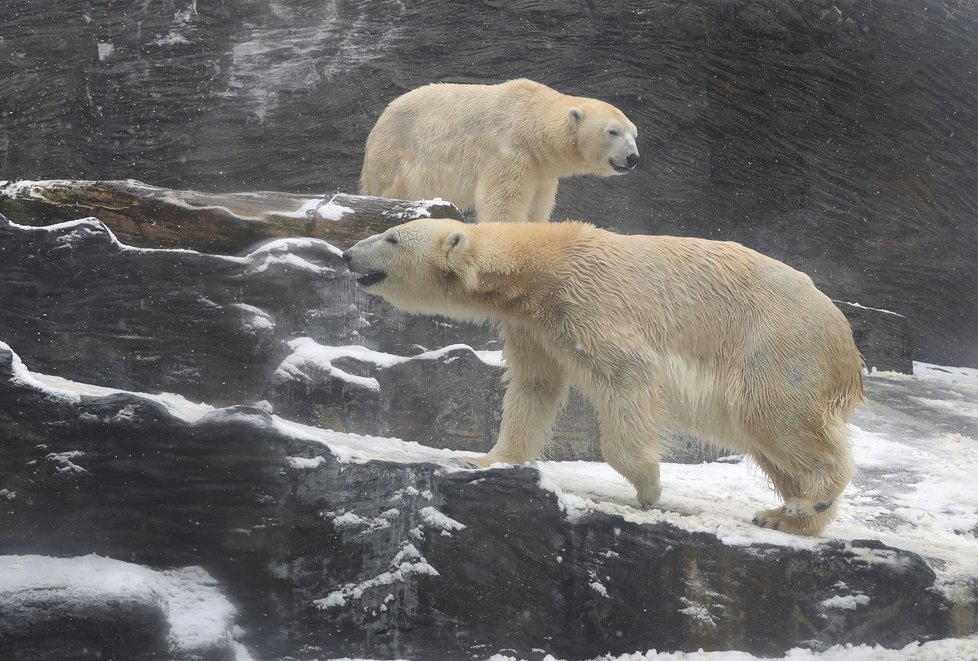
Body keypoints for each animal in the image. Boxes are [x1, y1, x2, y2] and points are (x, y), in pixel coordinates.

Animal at [342, 219, 860, 532]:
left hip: (775, 343)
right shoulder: (535, 327)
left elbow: (629, 372)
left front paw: (649, 487)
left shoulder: (589, 301)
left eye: (391, 237)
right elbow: (534, 387)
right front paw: (486, 459)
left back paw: (807, 502)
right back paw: (784, 515)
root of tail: (847, 342)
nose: (348, 254)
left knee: (771, 413)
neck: (538, 266)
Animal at [358, 78, 640, 223]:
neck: (531, 118)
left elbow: (538, 205)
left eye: (634, 133)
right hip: (396, 153)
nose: (633, 158)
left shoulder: (540, 168)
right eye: (613, 131)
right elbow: (503, 201)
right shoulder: (508, 149)